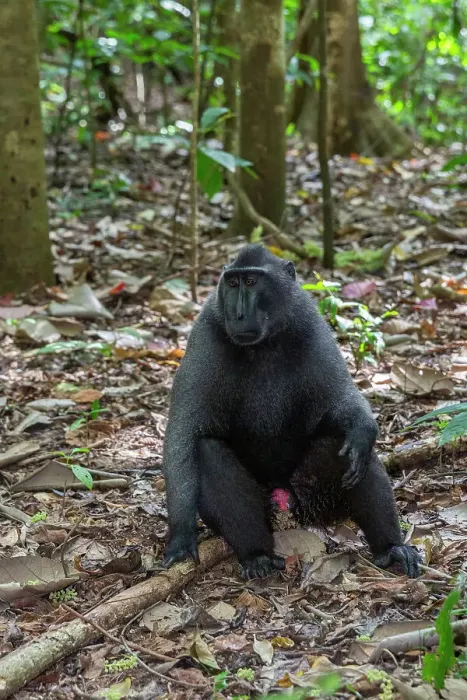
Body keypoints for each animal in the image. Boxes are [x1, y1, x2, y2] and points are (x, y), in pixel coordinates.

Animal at [161, 244, 420, 579]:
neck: (264, 344)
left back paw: (392, 548)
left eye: (251, 282)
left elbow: (341, 399)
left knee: (347, 445)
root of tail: (283, 494)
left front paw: (363, 428)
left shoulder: (309, 323)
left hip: (315, 501)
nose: (238, 314)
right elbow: (184, 434)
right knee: (206, 451)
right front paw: (181, 534)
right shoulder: (205, 333)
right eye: (232, 283)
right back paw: (257, 555)